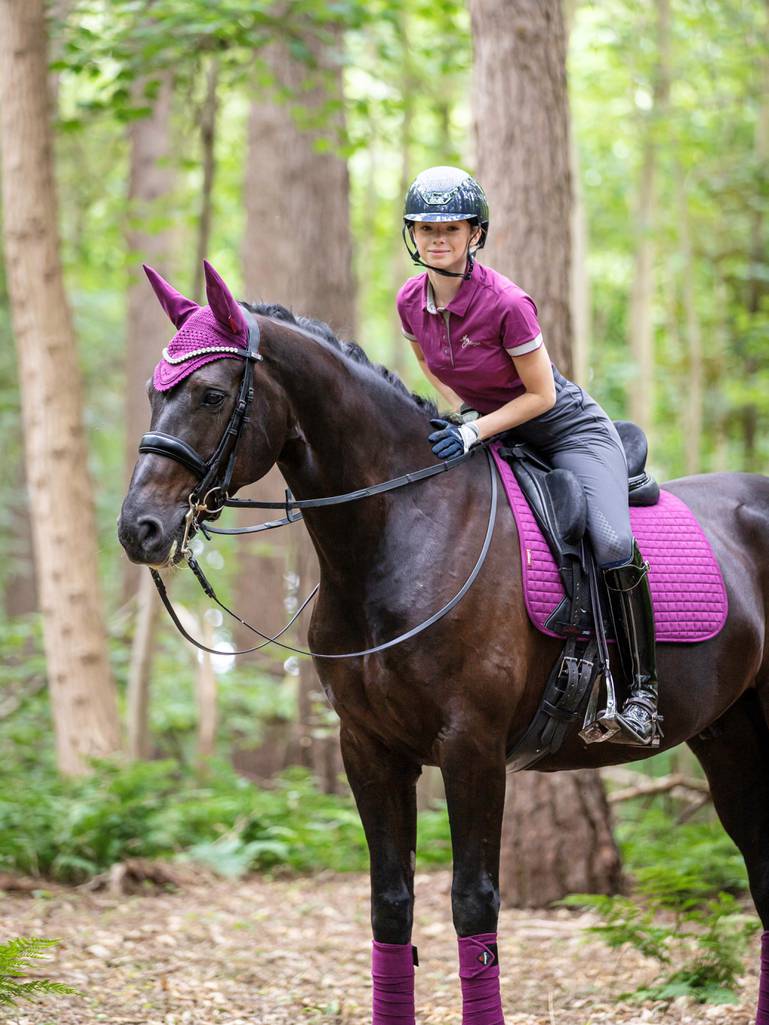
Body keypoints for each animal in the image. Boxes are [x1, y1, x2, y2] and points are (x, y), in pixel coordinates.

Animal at [120, 264, 769, 1025]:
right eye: (153, 393)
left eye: (212, 394)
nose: (140, 528)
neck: (400, 531)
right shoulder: (369, 748)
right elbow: (390, 906)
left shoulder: (472, 746)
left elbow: (472, 906)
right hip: (729, 738)